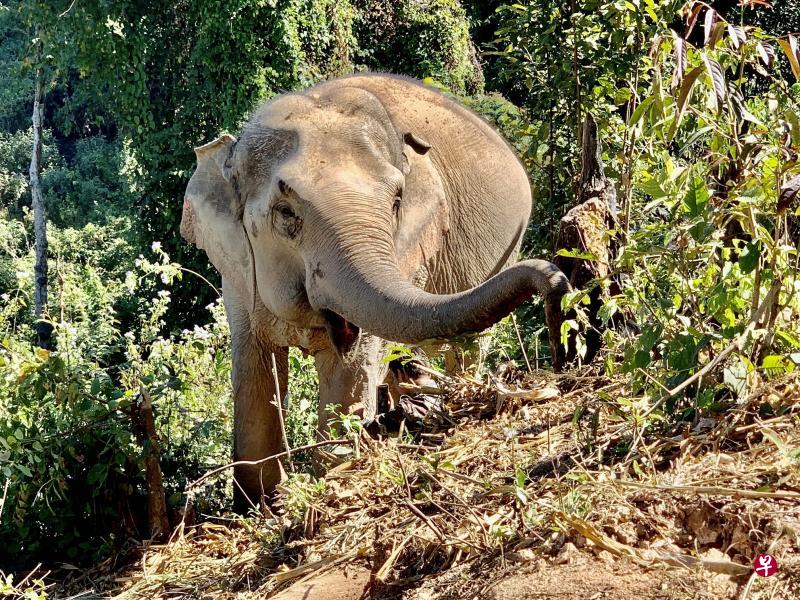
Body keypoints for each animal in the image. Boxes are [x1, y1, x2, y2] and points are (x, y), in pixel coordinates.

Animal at [180, 73, 569, 510]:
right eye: (286, 213)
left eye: (397, 201)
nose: (557, 284)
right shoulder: (237, 274)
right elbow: (254, 365)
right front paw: (261, 504)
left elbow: (350, 367)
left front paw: (329, 476)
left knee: (467, 350)